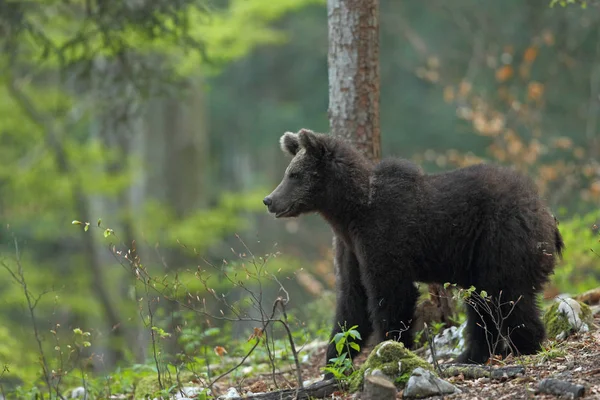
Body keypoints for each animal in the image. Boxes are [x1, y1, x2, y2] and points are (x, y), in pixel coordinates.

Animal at [262, 127, 564, 376]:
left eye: (294, 174)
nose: (269, 200)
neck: (351, 212)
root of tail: (545, 211)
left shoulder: (384, 237)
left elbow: (391, 295)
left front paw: (389, 350)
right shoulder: (352, 249)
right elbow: (352, 302)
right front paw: (334, 364)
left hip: (499, 239)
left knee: (505, 296)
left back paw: (522, 346)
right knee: (484, 305)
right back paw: (471, 355)